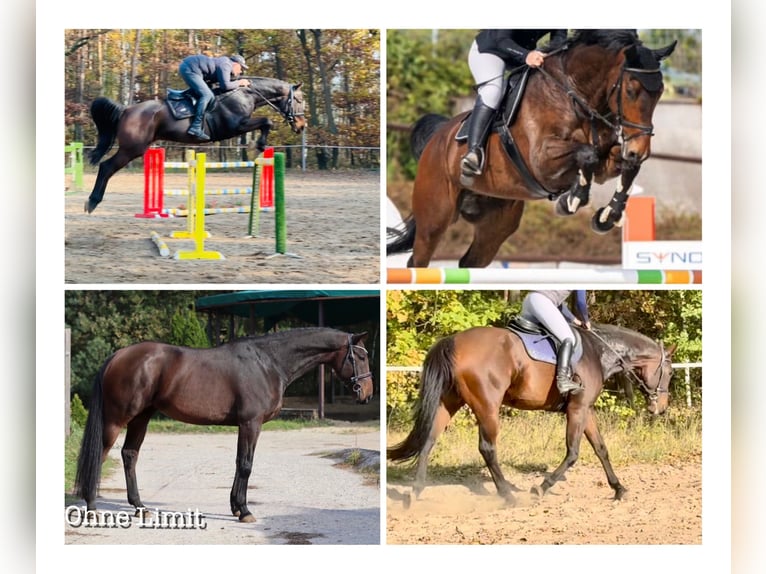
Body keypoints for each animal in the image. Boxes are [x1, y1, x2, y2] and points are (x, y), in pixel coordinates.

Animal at [73, 328, 374, 520]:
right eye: (360, 356)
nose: (367, 393)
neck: (268, 362)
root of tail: (118, 355)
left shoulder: (247, 425)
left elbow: (241, 463)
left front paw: (236, 507)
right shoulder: (251, 423)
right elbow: (246, 465)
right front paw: (245, 511)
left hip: (141, 418)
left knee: (129, 455)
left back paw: (139, 507)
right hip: (117, 419)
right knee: (100, 454)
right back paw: (91, 506)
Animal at [85, 75, 306, 213]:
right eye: (299, 100)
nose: (302, 126)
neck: (245, 94)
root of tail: (126, 110)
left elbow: (266, 123)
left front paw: (258, 146)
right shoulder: (236, 126)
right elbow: (267, 121)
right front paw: (258, 146)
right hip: (132, 149)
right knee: (106, 167)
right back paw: (92, 202)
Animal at [390, 29, 680, 268]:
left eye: (660, 92)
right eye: (631, 90)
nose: (639, 149)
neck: (574, 95)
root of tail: (437, 139)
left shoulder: (606, 162)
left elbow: (624, 166)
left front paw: (608, 215)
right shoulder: (542, 161)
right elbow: (586, 154)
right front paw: (572, 200)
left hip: (495, 224)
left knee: (470, 261)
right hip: (435, 218)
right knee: (419, 259)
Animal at [390, 324, 680, 508]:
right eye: (670, 372)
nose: (661, 408)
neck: (599, 352)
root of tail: (454, 340)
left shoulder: (585, 409)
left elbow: (601, 449)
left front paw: (618, 489)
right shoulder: (577, 409)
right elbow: (573, 453)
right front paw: (541, 487)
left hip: (448, 402)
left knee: (428, 441)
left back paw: (415, 492)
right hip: (487, 407)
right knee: (487, 448)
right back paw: (507, 495)